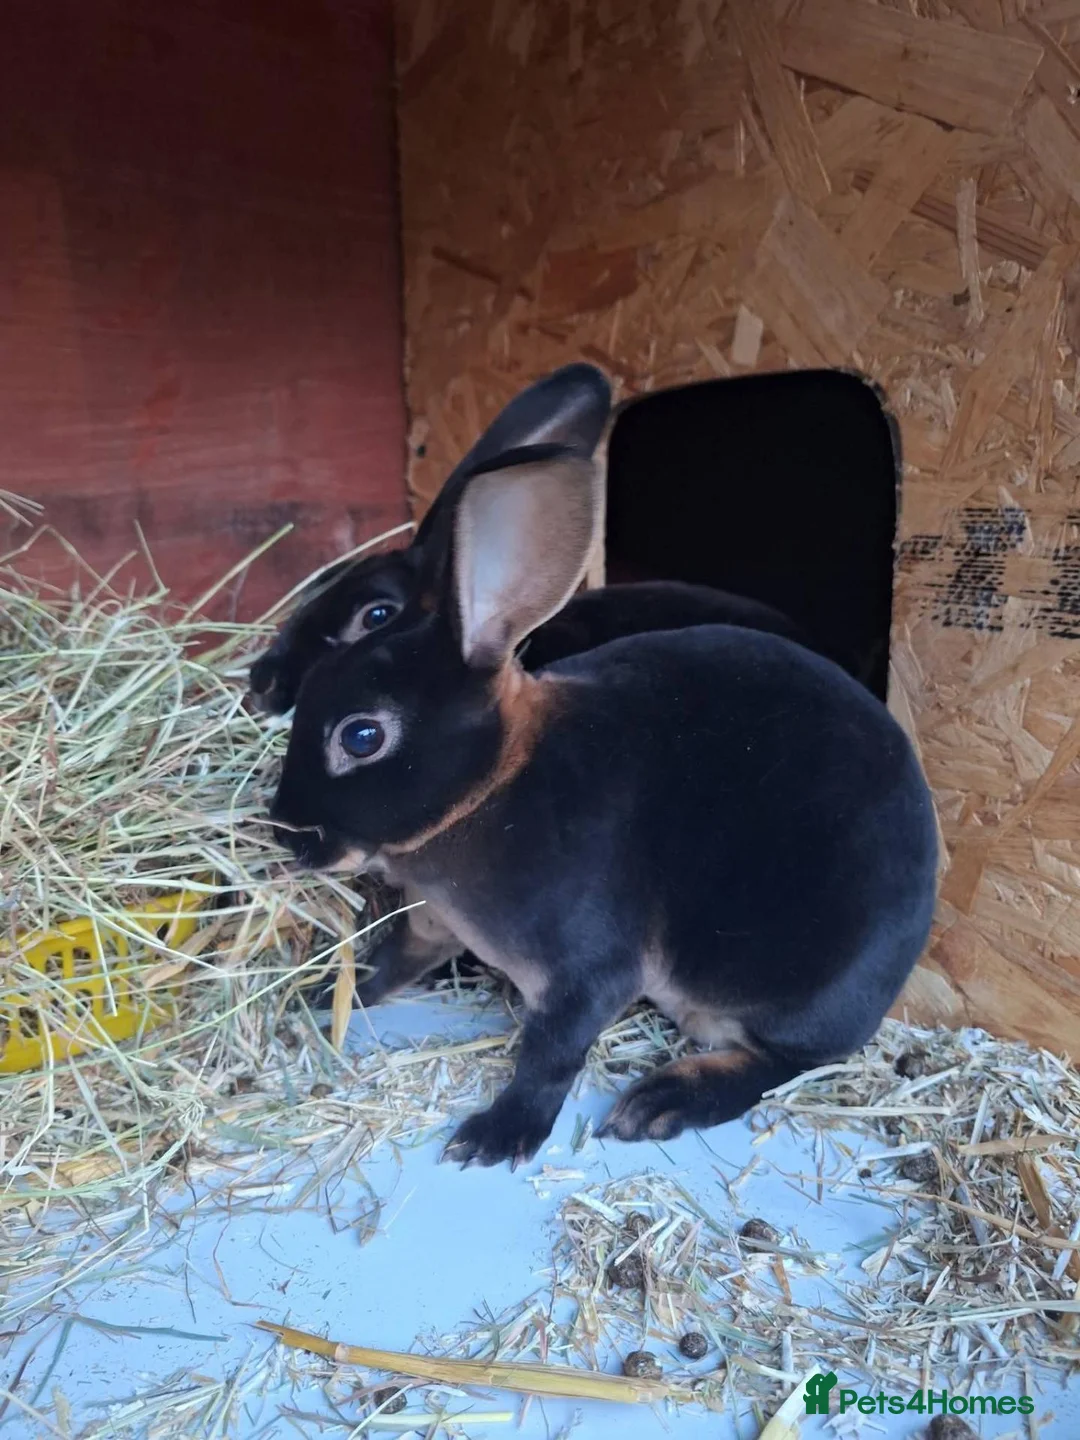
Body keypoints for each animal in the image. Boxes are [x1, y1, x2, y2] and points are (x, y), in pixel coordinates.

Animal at [269, 437, 939, 1168]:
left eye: (361, 737)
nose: (284, 832)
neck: (490, 785)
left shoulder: (588, 973)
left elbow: (550, 1057)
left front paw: (495, 1136)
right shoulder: (431, 926)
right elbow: (388, 964)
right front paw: (320, 995)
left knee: (781, 1064)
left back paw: (660, 1103)